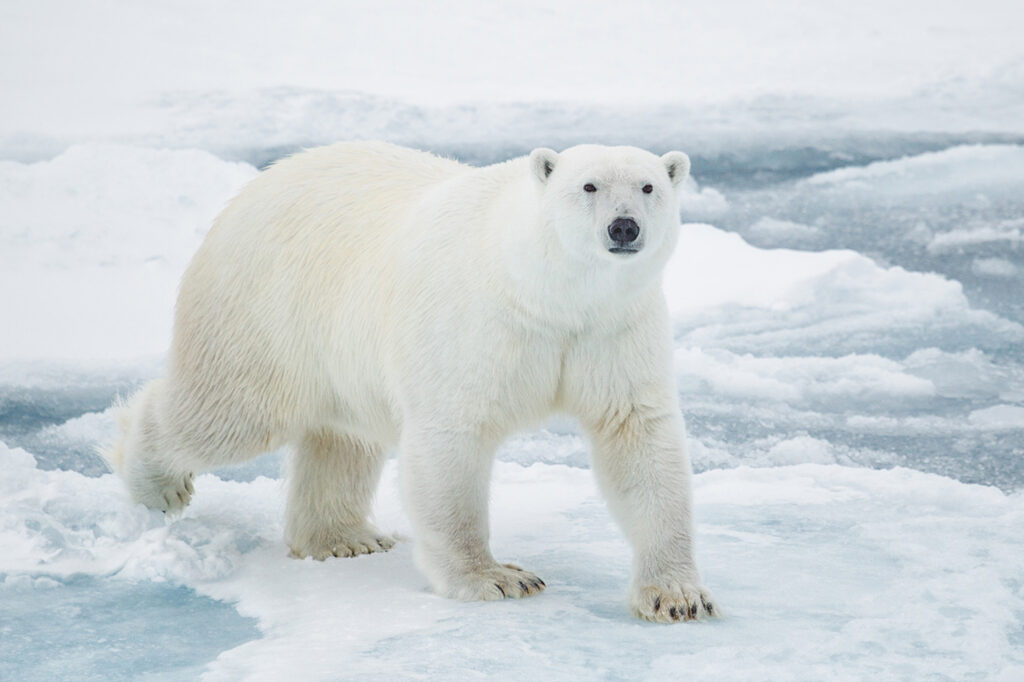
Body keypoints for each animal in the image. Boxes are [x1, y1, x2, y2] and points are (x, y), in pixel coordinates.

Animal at [104, 141, 717, 623]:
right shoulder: (479, 325)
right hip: (265, 312)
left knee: (340, 438)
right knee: (226, 412)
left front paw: (677, 595)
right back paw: (157, 484)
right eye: (588, 186)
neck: (547, 294)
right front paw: (497, 577)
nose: (624, 227)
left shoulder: (612, 330)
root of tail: (253, 188)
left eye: (648, 186)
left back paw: (344, 538)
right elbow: (452, 440)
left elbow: (638, 437)